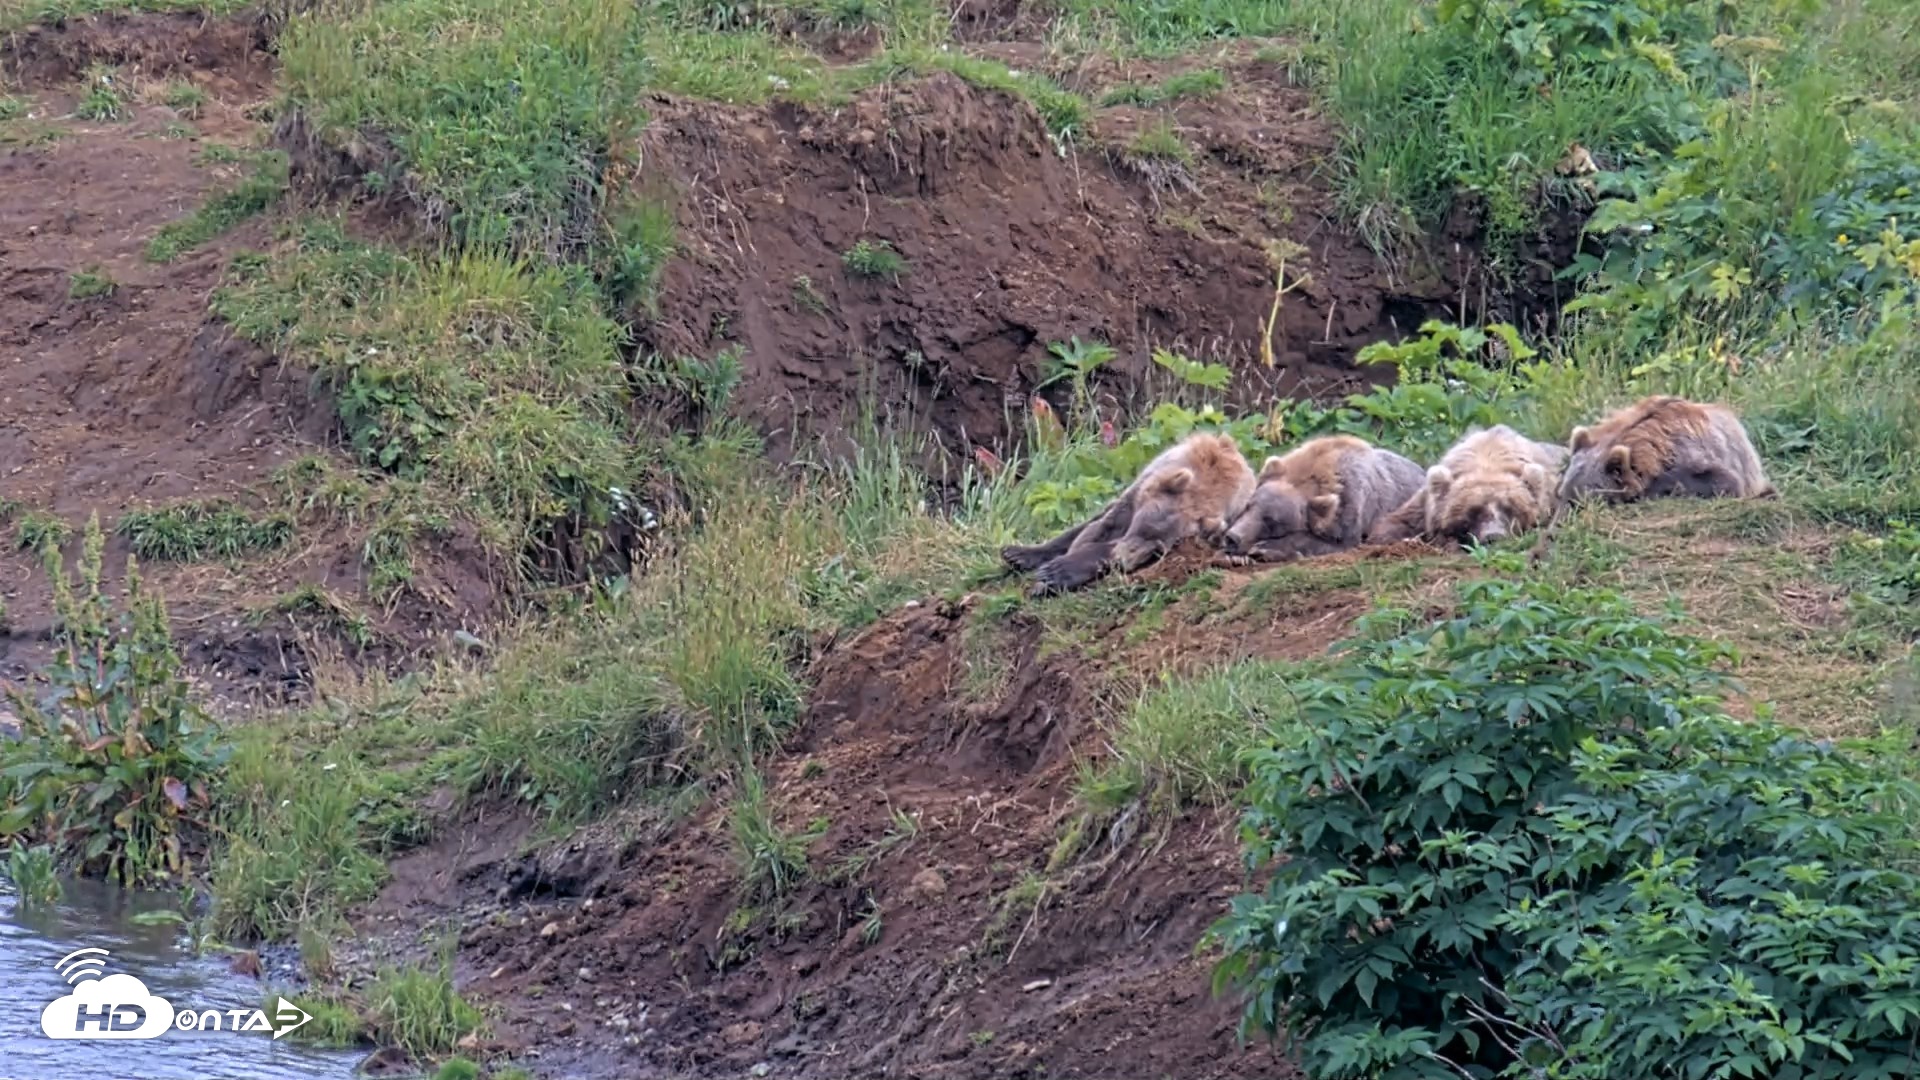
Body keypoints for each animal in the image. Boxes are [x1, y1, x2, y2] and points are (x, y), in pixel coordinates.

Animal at [1001, 431, 1256, 596]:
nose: (1124, 562)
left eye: (1158, 551)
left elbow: (1101, 544)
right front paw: (1031, 563)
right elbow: (1099, 527)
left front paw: (1054, 575)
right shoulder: (1141, 489)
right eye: (1145, 527)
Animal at [1220, 434, 1426, 562]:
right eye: (1248, 506)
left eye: (1271, 521)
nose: (1232, 537)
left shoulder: (1352, 507)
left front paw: (1264, 548)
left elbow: (1334, 543)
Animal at [1367, 425, 1569, 547]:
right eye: (1473, 511)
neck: (1489, 458)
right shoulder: (1424, 505)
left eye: (1510, 508)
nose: (1493, 536)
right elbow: (1395, 524)